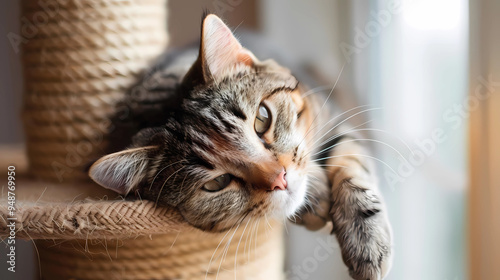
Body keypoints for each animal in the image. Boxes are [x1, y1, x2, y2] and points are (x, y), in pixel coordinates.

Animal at [91, 13, 394, 280]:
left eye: (262, 119)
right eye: (217, 183)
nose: (280, 179)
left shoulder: (334, 120)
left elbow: (351, 165)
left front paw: (366, 239)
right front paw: (316, 198)